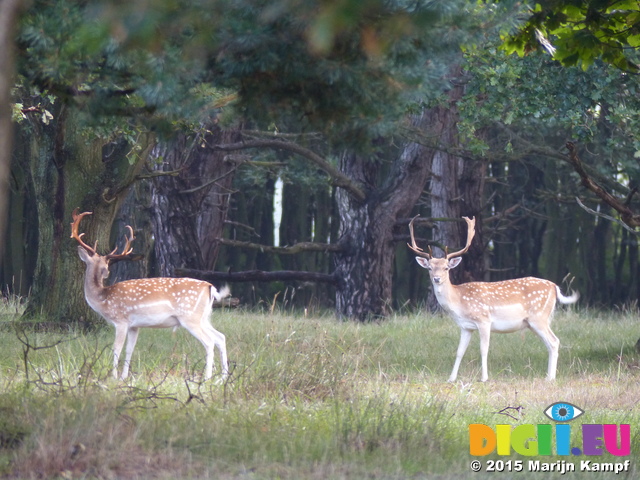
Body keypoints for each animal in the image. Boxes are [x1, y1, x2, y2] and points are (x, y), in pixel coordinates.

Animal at [71, 208, 230, 380]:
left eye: (105, 264)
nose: (106, 273)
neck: (104, 299)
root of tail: (210, 287)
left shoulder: (121, 320)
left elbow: (116, 348)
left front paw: (113, 376)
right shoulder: (134, 326)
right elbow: (129, 349)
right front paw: (124, 377)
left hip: (190, 317)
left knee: (209, 342)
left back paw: (207, 378)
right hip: (204, 317)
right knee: (220, 337)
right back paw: (223, 377)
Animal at [410, 216, 580, 380]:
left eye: (446, 268)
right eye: (429, 268)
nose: (437, 279)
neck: (458, 302)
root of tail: (554, 286)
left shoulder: (484, 320)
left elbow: (483, 349)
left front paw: (484, 378)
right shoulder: (465, 327)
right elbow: (459, 351)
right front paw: (451, 379)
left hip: (539, 317)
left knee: (554, 341)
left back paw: (550, 378)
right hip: (535, 322)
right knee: (551, 343)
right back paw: (549, 376)